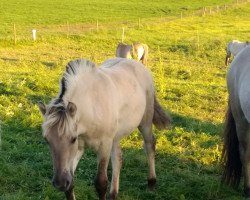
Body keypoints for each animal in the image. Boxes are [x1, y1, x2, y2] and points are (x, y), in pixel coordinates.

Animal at [38, 57, 172, 200]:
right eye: (47, 140)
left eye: (72, 139)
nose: (60, 183)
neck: (91, 106)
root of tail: (139, 65)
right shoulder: (79, 148)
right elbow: (71, 185)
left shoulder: (104, 144)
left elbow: (101, 183)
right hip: (116, 136)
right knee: (118, 157)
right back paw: (113, 194)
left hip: (145, 122)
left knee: (149, 145)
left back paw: (151, 183)